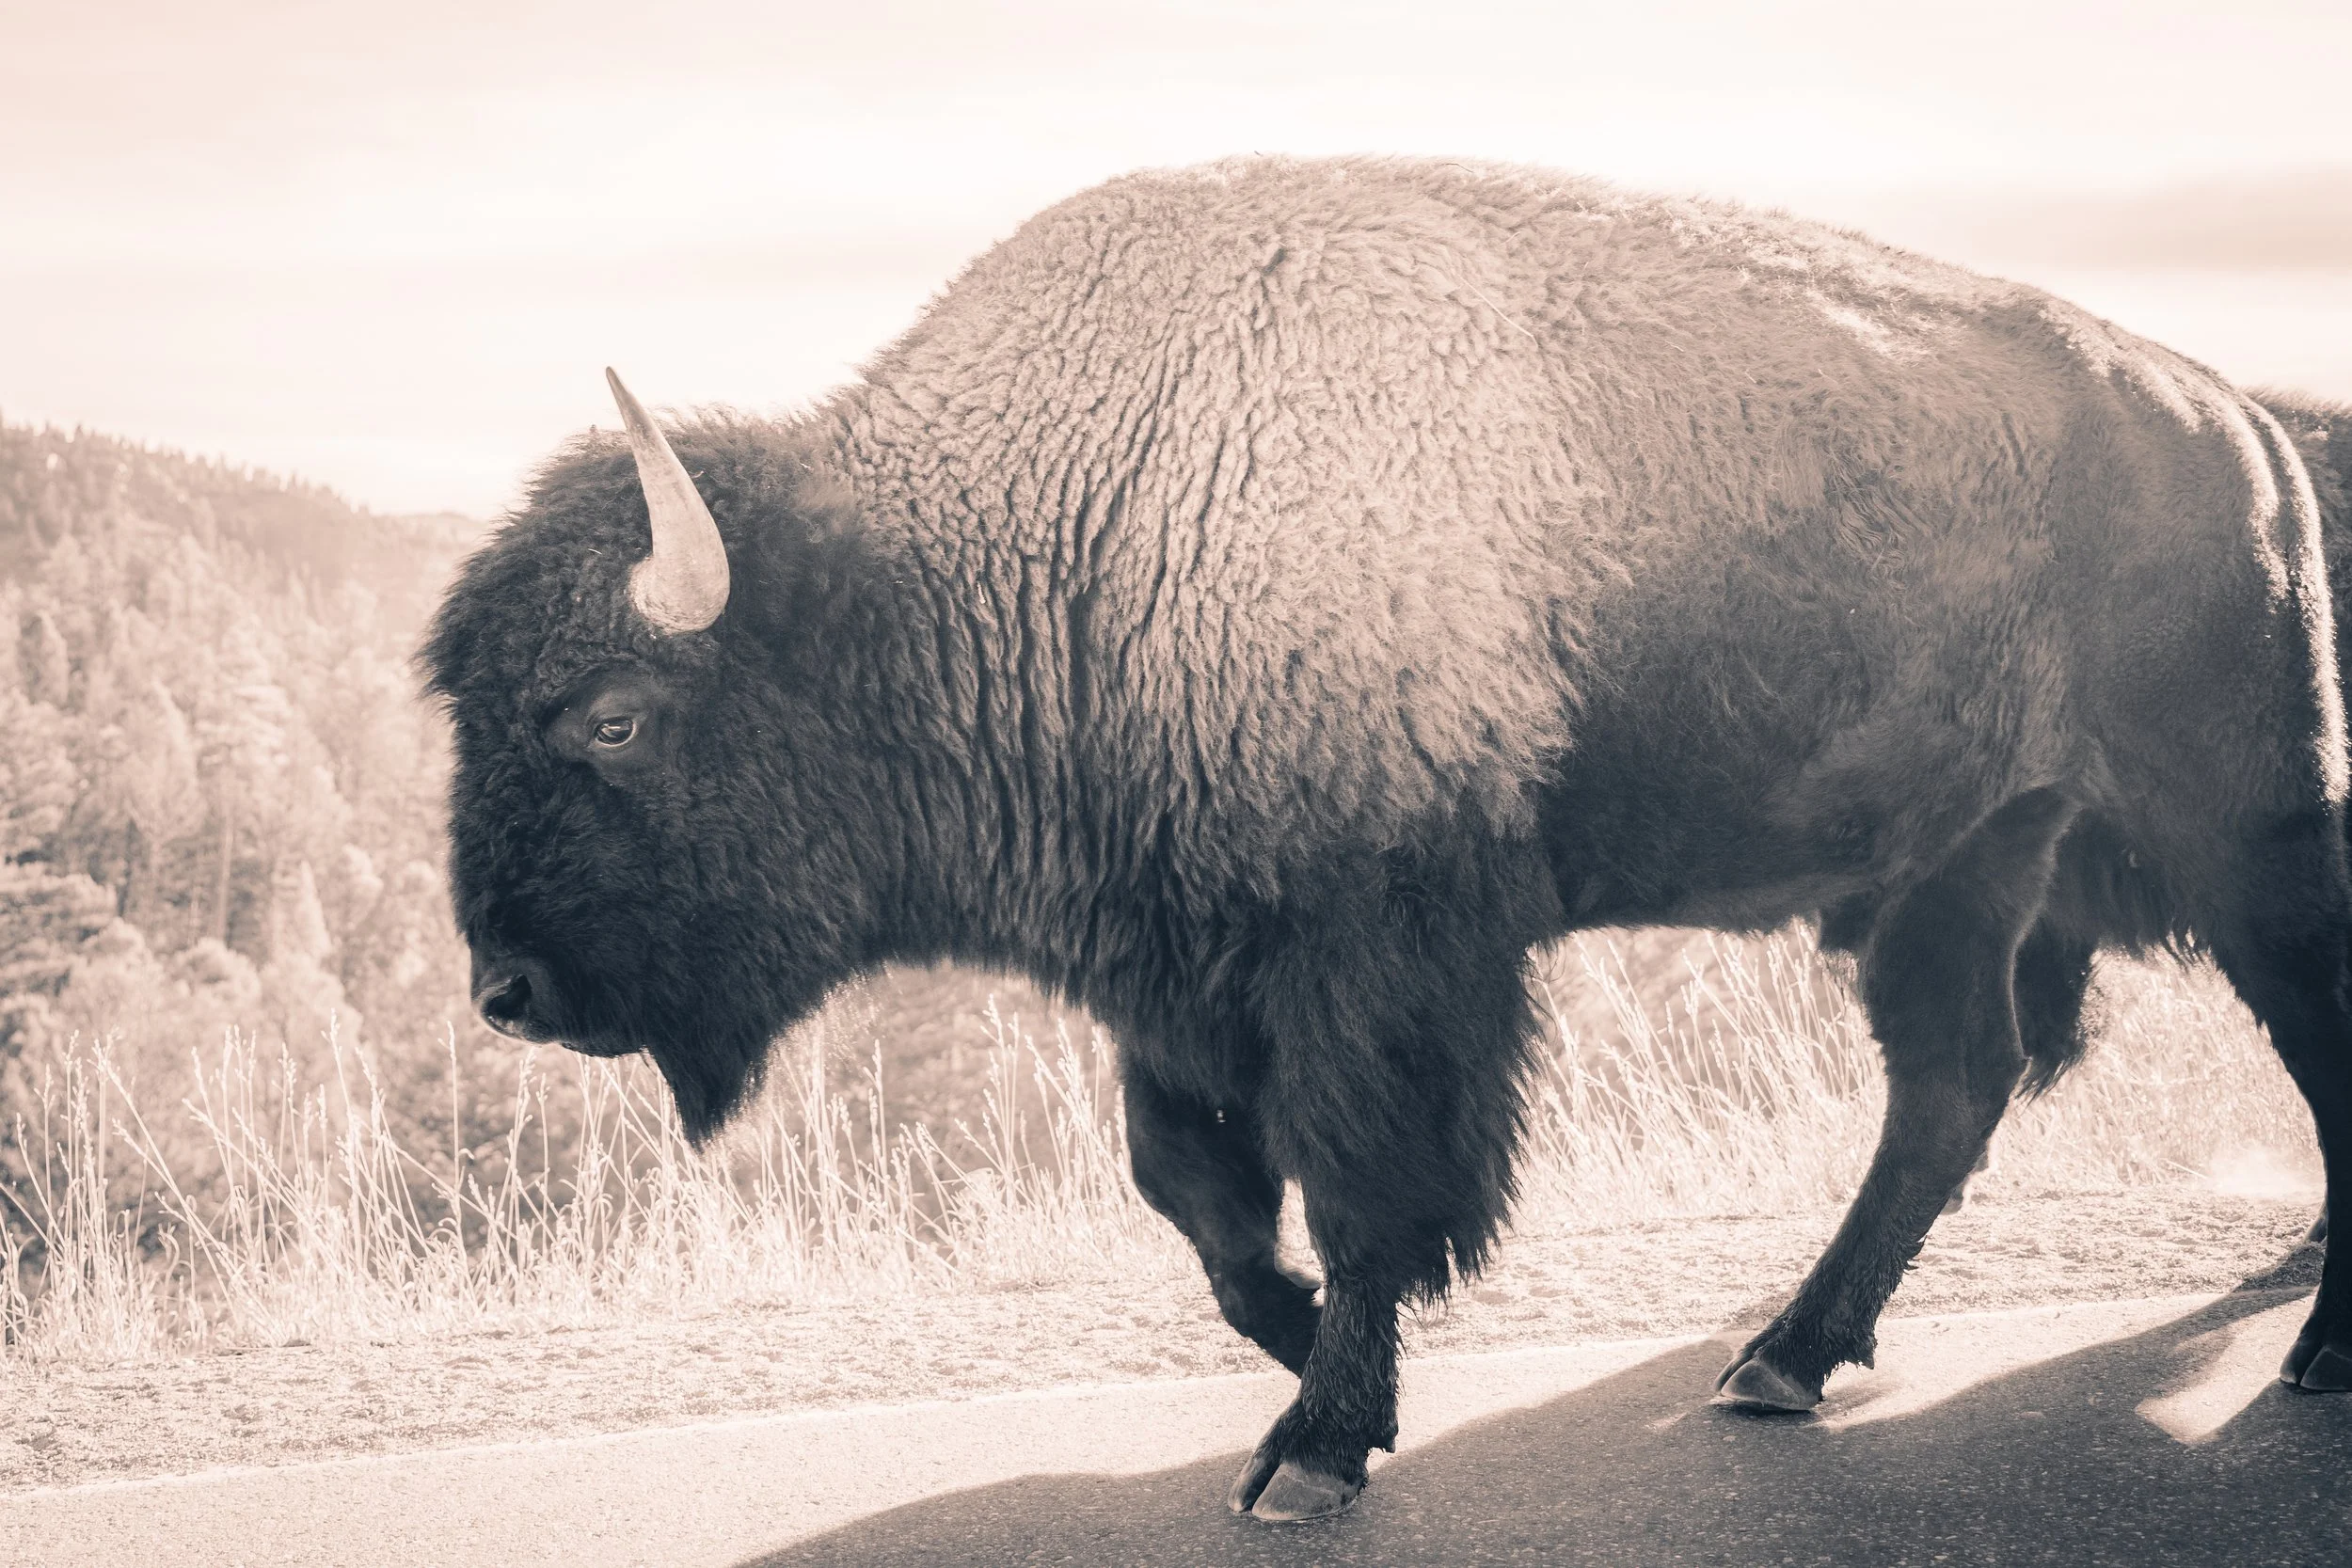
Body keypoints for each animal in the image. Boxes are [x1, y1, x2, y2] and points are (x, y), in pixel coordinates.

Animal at [425, 157, 2352, 1522]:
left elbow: (1362, 1192)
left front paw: (1318, 1443)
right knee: (1950, 1084)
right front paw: (1309, 1359)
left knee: (2296, 1047)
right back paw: (1787, 1356)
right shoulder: (1173, 970)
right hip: (1964, 864)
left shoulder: (1376, 962)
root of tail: (2234, 422)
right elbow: (1199, 1196)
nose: (507, 987)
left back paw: (2313, 1351)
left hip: (2238, 831)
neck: (1044, 542)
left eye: (611, 715)